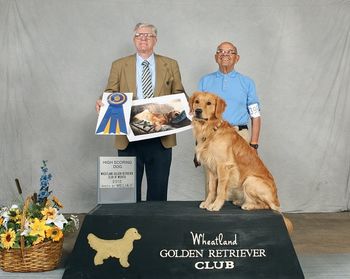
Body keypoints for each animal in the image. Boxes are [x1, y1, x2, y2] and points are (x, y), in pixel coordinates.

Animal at [189, 92, 292, 234]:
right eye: (197, 101)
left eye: (209, 103)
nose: (197, 111)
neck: (210, 130)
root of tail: (276, 200)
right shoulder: (210, 168)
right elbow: (211, 189)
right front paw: (207, 202)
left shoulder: (223, 166)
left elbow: (219, 190)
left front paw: (215, 205)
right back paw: (241, 202)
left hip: (250, 180)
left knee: (267, 206)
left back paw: (248, 205)